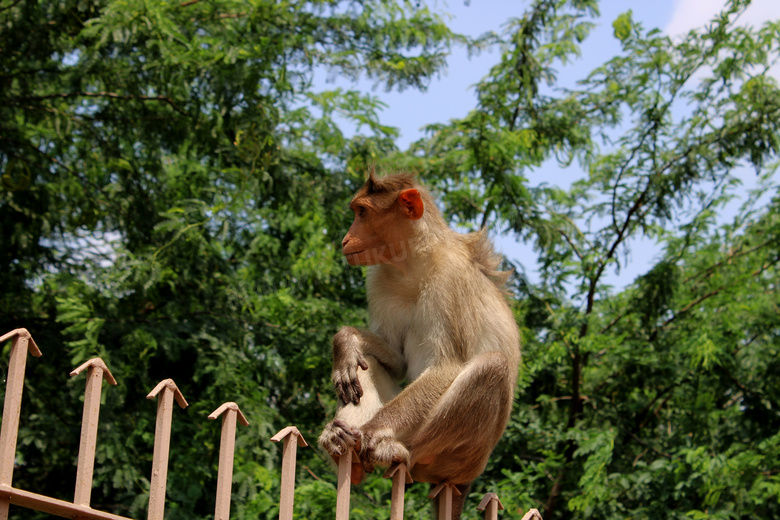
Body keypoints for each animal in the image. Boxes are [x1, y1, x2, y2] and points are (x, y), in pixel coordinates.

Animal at [320, 171, 520, 516]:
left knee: (492, 367)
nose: (345, 239)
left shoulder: (450, 278)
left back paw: (396, 449)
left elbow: (446, 367)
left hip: (462, 459)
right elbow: (395, 360)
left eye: (362, 212)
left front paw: (373, 431)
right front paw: (344, 343)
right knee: (367, 363)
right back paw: (341, 445)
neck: (412, 263)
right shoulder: (379, 278)